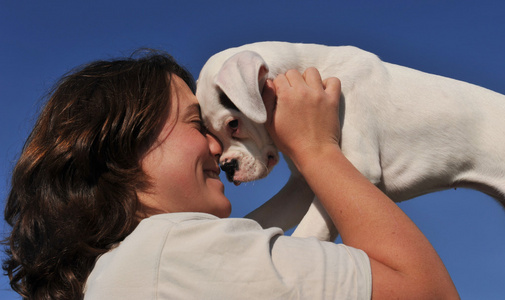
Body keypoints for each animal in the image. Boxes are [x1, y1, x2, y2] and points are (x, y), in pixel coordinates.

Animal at [195, 41, 504, 240]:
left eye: (233, 124)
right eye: (208, 134)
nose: (227, 167)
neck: (311, 69)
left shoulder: (356, 169)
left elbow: (308, 235)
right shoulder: (303, 185)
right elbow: (257, 219)